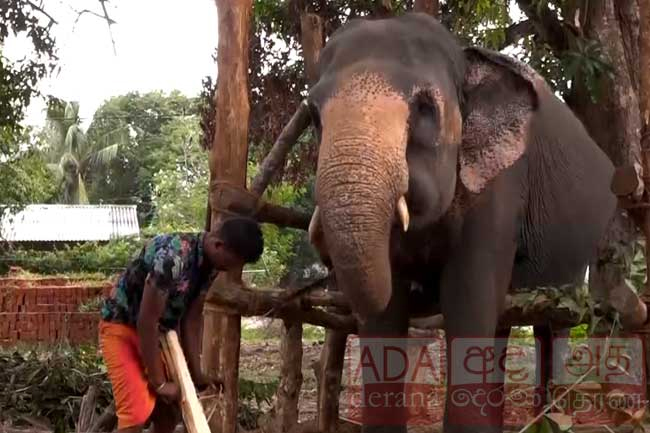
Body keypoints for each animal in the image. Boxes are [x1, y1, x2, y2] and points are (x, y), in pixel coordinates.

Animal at [306, 11, 620, 432]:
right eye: (313, 114)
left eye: (425, 108)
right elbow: (385, 317)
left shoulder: (501, 185)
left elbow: (466, 298)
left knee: (551, 326)